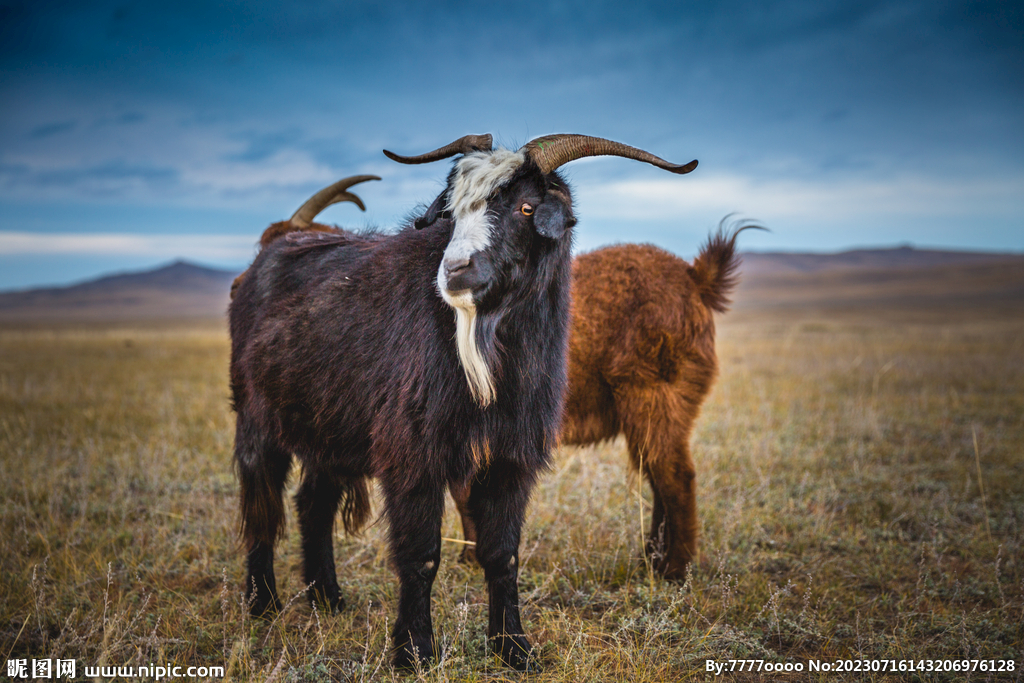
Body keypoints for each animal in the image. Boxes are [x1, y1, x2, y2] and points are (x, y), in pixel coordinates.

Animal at [231, 132, 696, 667]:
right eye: (451, 211)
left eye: (525, 206)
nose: (454, 270)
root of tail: (264, 259)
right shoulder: (413, 458)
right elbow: (420, 556)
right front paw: (414, 651)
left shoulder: (512, 458)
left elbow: (503, 553)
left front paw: (514, 648)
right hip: (256, 419)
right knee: (261, 501)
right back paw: (262, 603)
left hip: (328, 428)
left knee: (313, 503)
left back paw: (327, 600)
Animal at [452, 227, 749, 581]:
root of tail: (695, 277)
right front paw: (472, 558)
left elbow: (466, 496)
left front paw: (473, 559)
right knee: (658, 476)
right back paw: (652, 558)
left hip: (652, 398)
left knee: (675, 477)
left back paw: (674, 569)